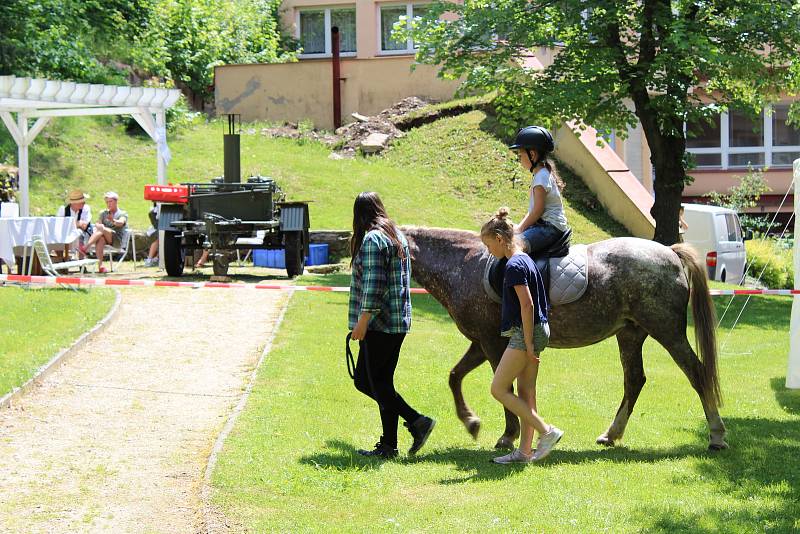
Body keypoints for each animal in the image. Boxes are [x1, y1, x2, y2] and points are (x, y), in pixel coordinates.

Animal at [404, 227, 728, 452]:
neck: (463, 265)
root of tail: (671, 252)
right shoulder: (481, 342)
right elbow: (455, 376)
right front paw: (471, 422)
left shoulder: (491, 342)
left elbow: (502, 387)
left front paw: (508, 435)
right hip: (630, 334)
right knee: (634, 380)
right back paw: (612, 433)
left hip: (668, 332)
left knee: (696, 373)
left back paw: (716, 435)